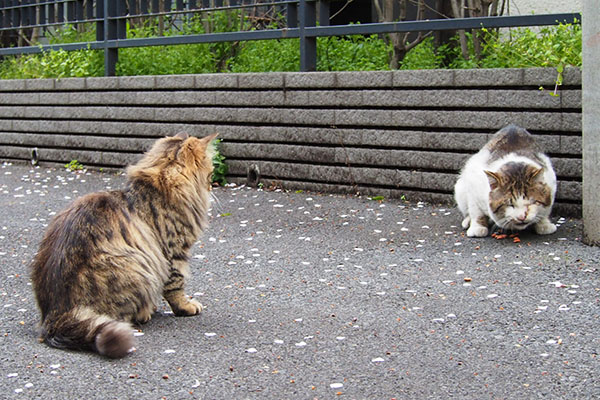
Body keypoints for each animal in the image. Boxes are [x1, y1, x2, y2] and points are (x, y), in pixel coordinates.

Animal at [30, 133, 218, 358]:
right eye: (210, 174)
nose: (211, 186)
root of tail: (55, 314)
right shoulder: (174, 252)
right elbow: (176, 286)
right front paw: (186, 307)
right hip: (135, 265)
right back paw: (144, 313)